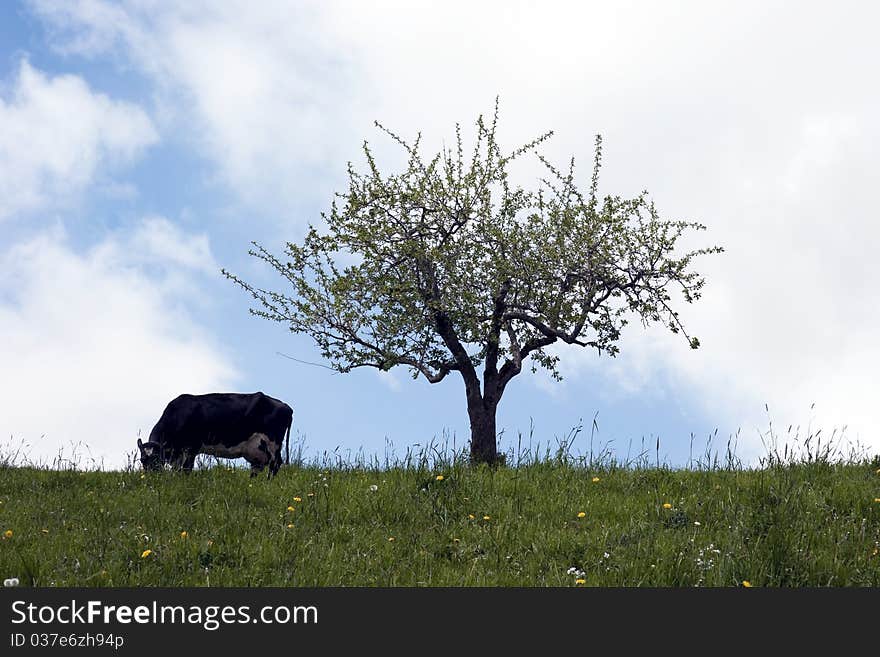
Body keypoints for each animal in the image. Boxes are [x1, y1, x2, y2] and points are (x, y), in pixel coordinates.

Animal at [138, 390, 294, 476]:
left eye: (156, 459)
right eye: (142, 460)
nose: (151, 478)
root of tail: (286, 406)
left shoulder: (192, 447)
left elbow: (187, 469)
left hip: (273, 443)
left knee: (275, 464)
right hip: (258, 449)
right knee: (258, 466)